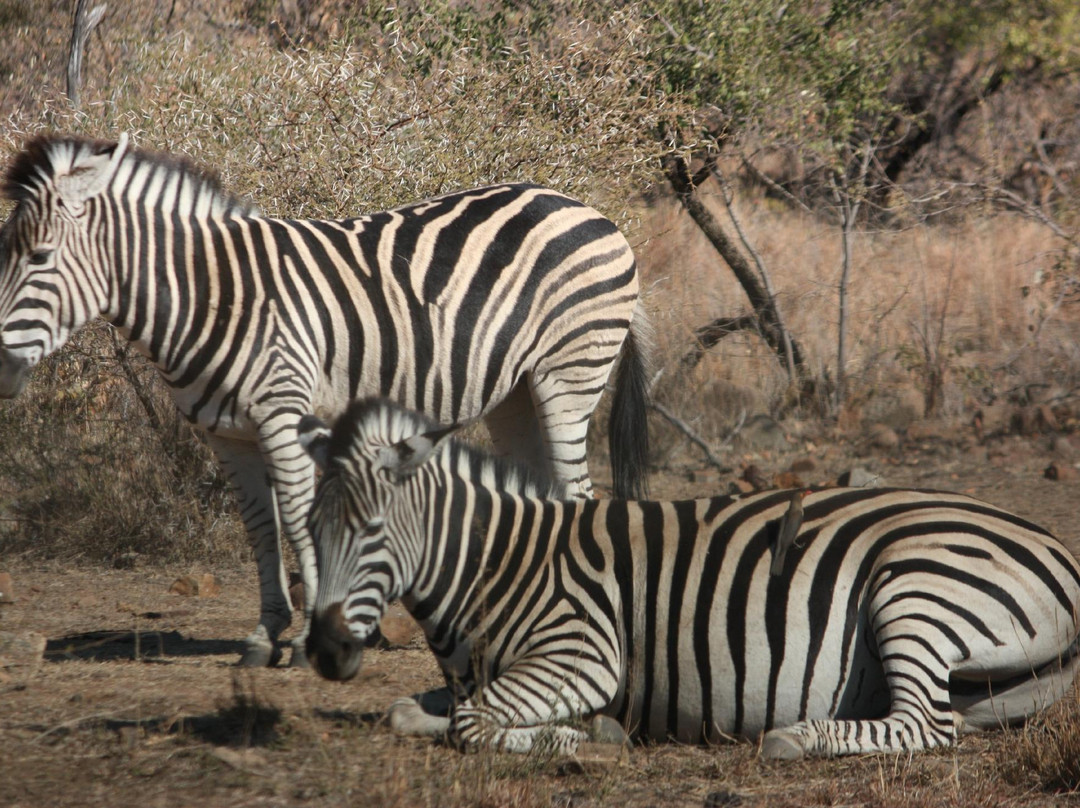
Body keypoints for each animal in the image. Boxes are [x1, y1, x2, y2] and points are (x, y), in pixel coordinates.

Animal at [0, 135, 648, 665]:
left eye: (39, 258)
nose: (0, 366)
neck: (215, 295)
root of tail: (589, 209)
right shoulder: (225, 434)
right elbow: (260, 525)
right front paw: (266, 633)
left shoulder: (283, 413)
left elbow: (297, 515)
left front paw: (309, 634)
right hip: (515, 394)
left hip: (569, 374)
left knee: (579, 491)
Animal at [300, 401, 1080, 760]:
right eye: (308, 527)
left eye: (371, 529)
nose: (324, 652)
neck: (498, 562)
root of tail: (1054, 545)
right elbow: (411, 711)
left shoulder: (586, 652)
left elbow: (469, 723)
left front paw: (586, 738)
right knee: (946, 717)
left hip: (912, 588)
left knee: (924, 724)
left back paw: (794, 737)